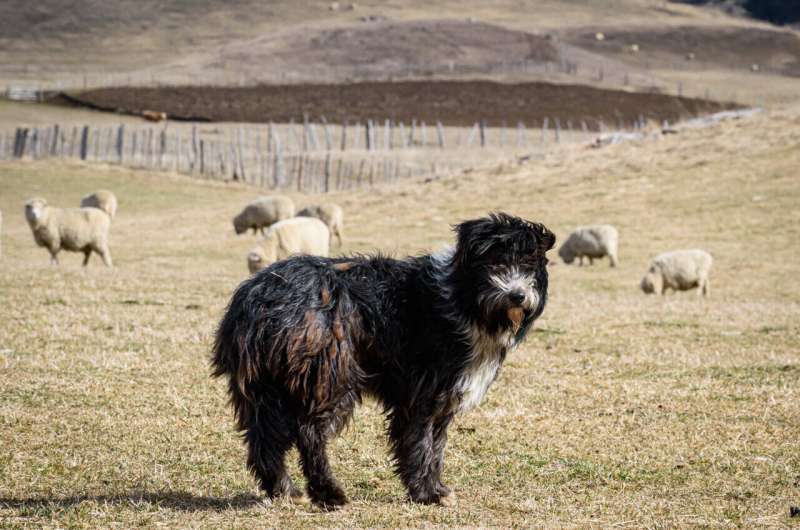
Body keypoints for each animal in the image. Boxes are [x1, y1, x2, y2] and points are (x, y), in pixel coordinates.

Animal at [209, 210, 552, 508]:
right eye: (496, 262)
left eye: (529, 264)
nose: (517, 295)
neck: (463, 301)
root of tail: (256, 297)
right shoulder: (422, 392)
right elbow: (421, 444)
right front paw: (427, 493)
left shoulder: (443, 396)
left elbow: (437, 446)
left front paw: (436, 489)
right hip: (329, 375)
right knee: (309, 434)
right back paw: (328, 493)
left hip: (266, 384)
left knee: (263, 439)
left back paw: (284, 490)